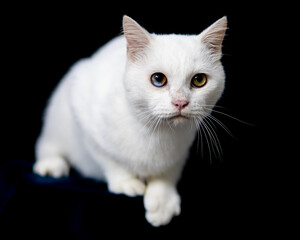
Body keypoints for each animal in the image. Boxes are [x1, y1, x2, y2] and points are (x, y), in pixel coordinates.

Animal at [32, 15, 226, 227]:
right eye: (158, 79)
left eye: (199, 80)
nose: (180, 102)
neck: (155, 132)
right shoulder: (81, 105)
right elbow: (108, 158)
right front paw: (126, 182)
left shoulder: (182, 149)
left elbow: (169, 170)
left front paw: (163, 199)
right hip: (58, 115)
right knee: (46, 144)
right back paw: (52, 164)